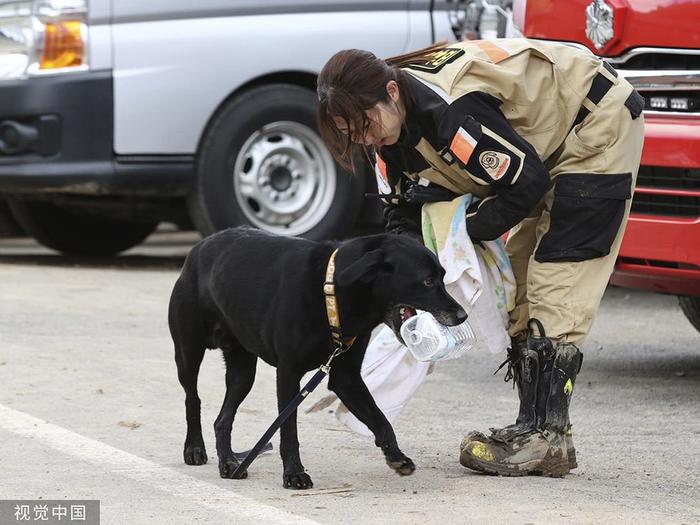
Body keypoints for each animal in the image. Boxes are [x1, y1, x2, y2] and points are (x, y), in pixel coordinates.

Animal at [169, 227, 464, 490]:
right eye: (427, 281)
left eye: (442, 276)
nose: (462, 315)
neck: (331, 294)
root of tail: (199, 247)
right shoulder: (288, 374)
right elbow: (289, 430)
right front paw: (294, 474)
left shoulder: (346, 378)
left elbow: (380, 420)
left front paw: (396, 456)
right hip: (188, 353)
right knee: (192, 398)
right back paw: (194, 447)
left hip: (242, 372)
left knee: (222, 420)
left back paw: (229, 462)